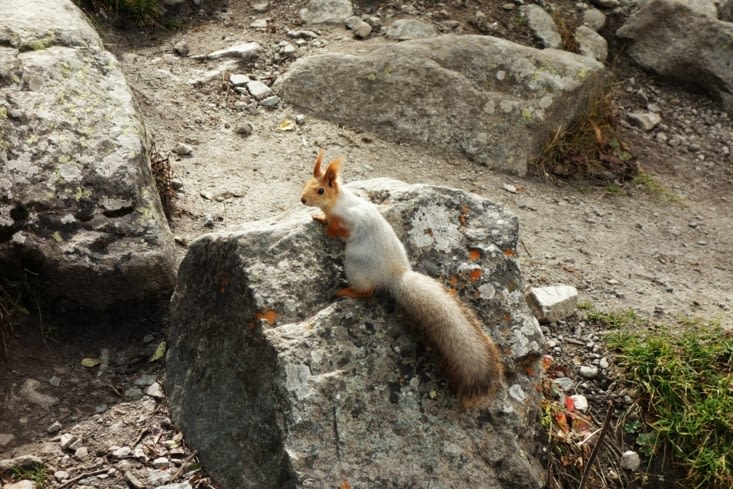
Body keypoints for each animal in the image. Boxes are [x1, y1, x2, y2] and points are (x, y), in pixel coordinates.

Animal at [300, 150, 504, 408]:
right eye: (306, 182)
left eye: (320, 190)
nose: (302, 200)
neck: (339, 203)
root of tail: (395, 277)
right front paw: (319, 216)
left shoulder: (349, 223)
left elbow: (338, 230)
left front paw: (326, 226)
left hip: (354, 266)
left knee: (366, 292)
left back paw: (346, 291)